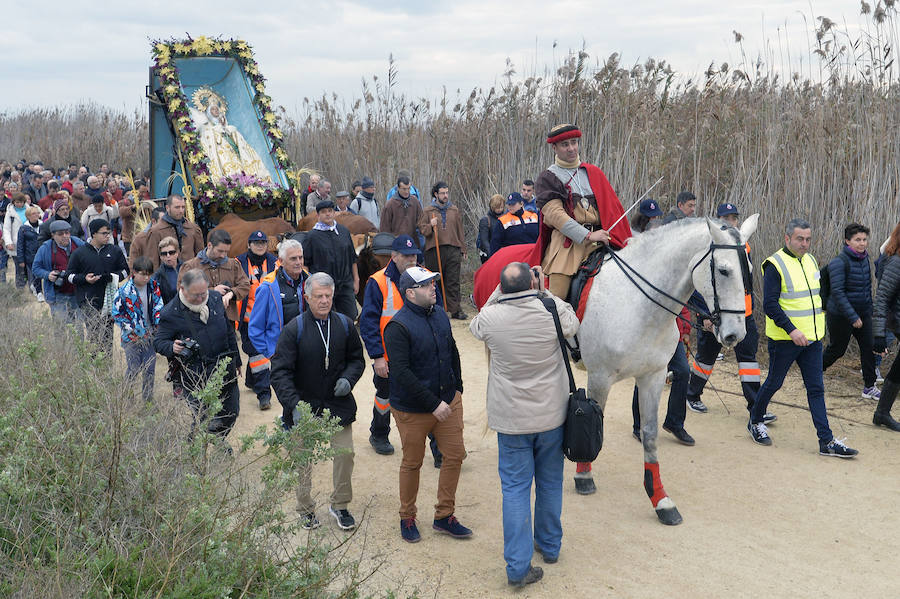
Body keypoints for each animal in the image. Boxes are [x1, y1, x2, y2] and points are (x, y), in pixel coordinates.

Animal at [576, 216, 760, 524]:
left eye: (749, 269)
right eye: (724, 270)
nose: (736, 334)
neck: (637, 304)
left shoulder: (653, 377)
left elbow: (650, 434)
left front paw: (660, 499)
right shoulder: (600, 378)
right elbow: (594, 424)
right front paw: (584, 475)